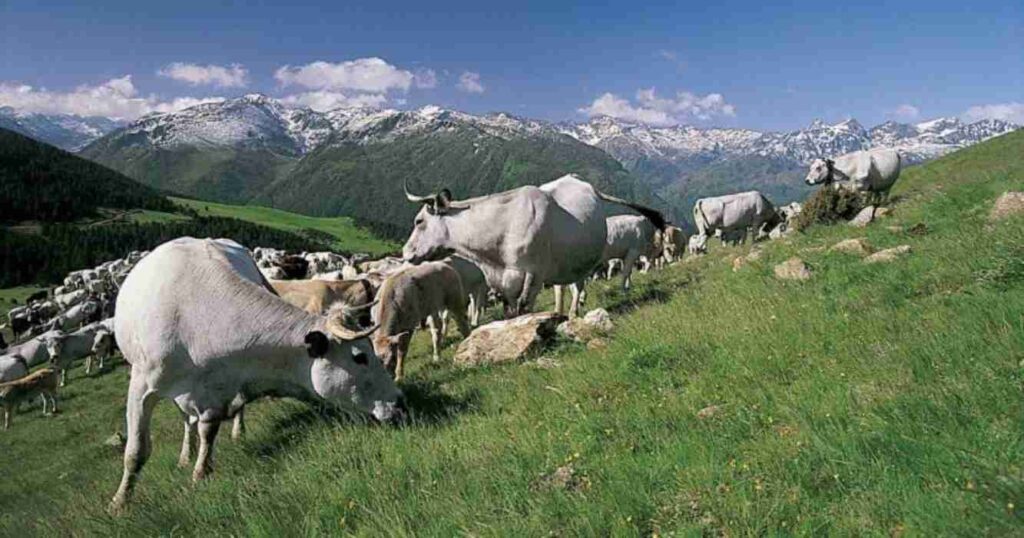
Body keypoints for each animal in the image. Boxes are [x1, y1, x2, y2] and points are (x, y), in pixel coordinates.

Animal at [109, 236, 403, 510]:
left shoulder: (217, 390)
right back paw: (184, 454)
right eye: (360, 357)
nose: (399, 402)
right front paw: (120, 502)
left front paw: (200, 473)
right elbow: (136, 451)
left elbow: (208, 433)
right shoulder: (141, 386)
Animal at [403, 174, 667, 317]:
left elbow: (524, 307)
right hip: (568, 262)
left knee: (580, 287)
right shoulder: (505, 282)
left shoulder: (533, 275)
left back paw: (574, 312)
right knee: (570, 287)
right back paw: (565, 312)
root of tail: (583, 183)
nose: (406, 252)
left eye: (418, 221)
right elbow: (510, 310)